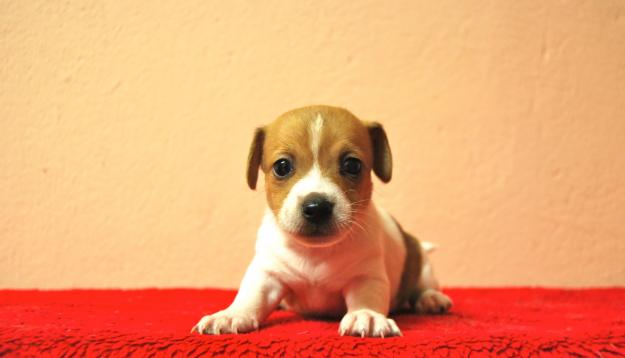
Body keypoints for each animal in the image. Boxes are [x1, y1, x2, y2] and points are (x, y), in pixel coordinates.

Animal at [193, 105, 450, 338]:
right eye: (282, 166)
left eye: (352, 165)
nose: (316, 208)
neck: (315, 254)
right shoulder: (267, 273)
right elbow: (251, 296)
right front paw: (231, 314)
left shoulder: (367, 276)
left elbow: (367, 297)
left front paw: (366, 315)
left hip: (423, 268)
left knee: (423, 286)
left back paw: (431, 298)